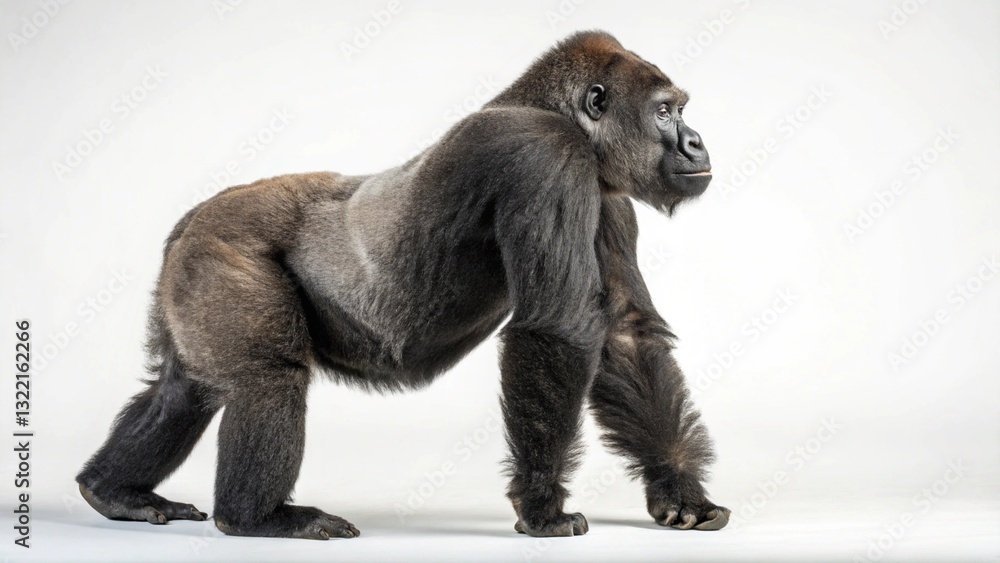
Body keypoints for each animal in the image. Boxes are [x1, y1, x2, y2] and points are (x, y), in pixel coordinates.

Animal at [76, 30, 730, 539]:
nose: (697, 141)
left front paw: (680, 492)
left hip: (190, 268)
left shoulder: (607, 196)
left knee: (184, 389)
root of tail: (189, 222)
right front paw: (543, 505)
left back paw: (113, 490)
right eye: (665, 112)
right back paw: (255, 517)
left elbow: (625, 336)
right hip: (221, 248)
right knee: (268, 378)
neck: (553, 110)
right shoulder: (545, 156)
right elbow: (559, 328)